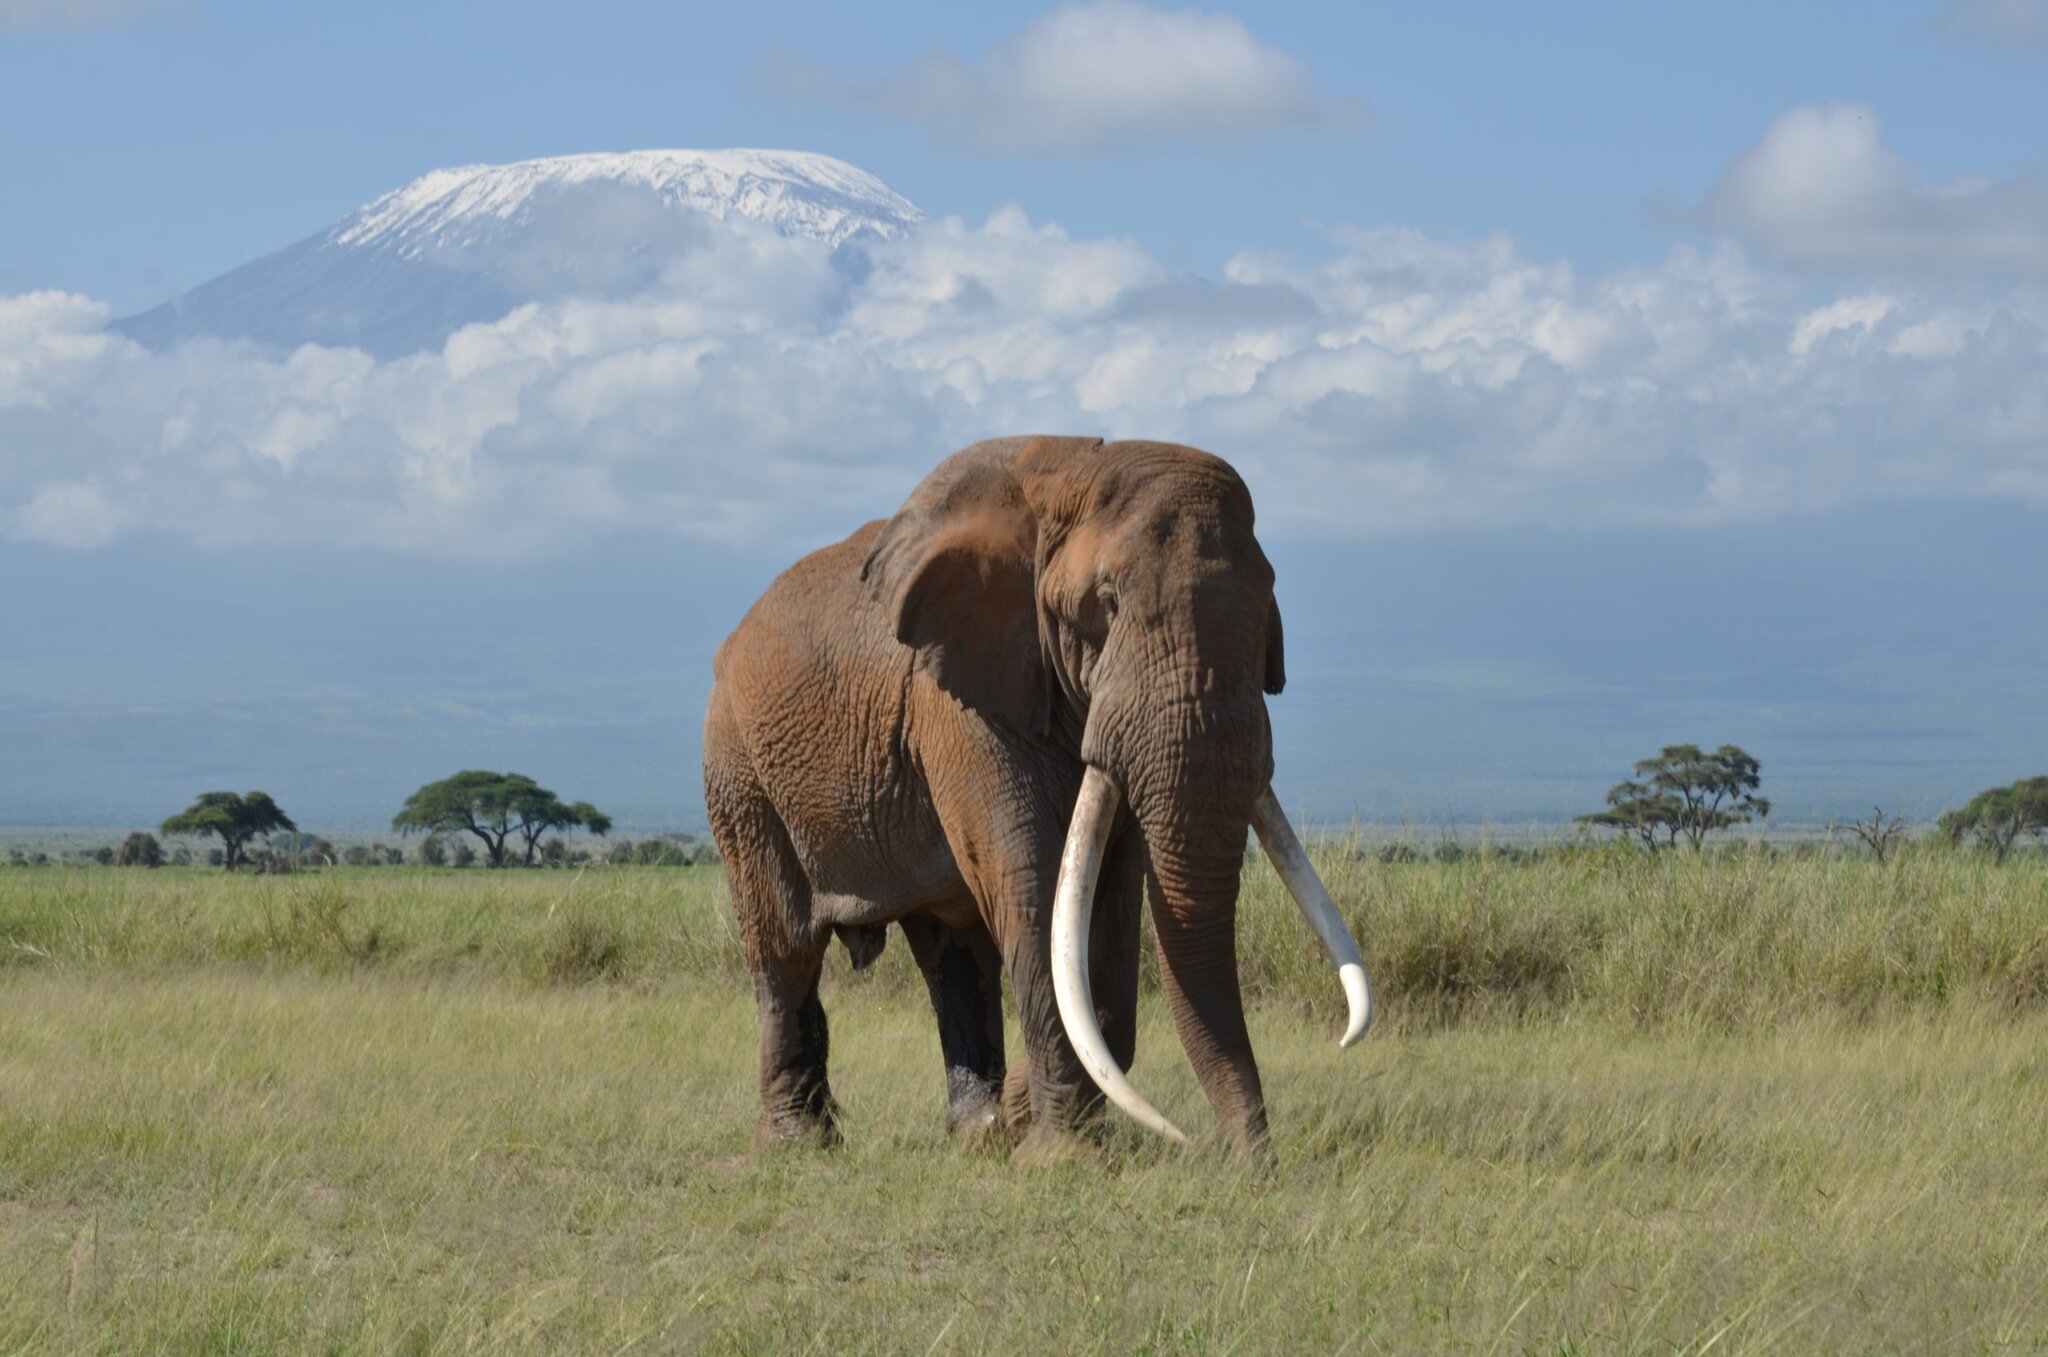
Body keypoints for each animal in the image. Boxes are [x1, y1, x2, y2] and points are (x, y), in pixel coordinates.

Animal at [702, 435, 1372, 1160]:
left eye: (1268, 603)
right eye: (1106, 601)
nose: (1253, 1164)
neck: (1075, 473)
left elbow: (1107, 903)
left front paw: (1016, 1122)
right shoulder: (957, 703)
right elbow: (1031, 879)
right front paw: (1060, 1155)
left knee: (949, 951)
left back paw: (974, 1129)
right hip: (739, 768)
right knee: (785, 945)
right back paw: (800, 1143)